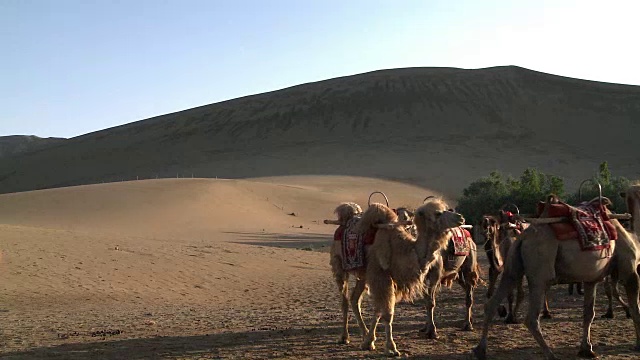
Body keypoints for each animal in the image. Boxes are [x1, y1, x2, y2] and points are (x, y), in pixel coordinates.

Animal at [470, 194, 640, 360]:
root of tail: (522, 238)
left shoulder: (591, 279)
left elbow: (589, 313)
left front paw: (587, 349)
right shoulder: (630, 272)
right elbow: (636, 308)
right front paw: (637, 344)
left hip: (512, 268)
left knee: (492, 303)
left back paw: (480, 350)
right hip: (539, 271)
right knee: (531, 318)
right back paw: (550, 354)